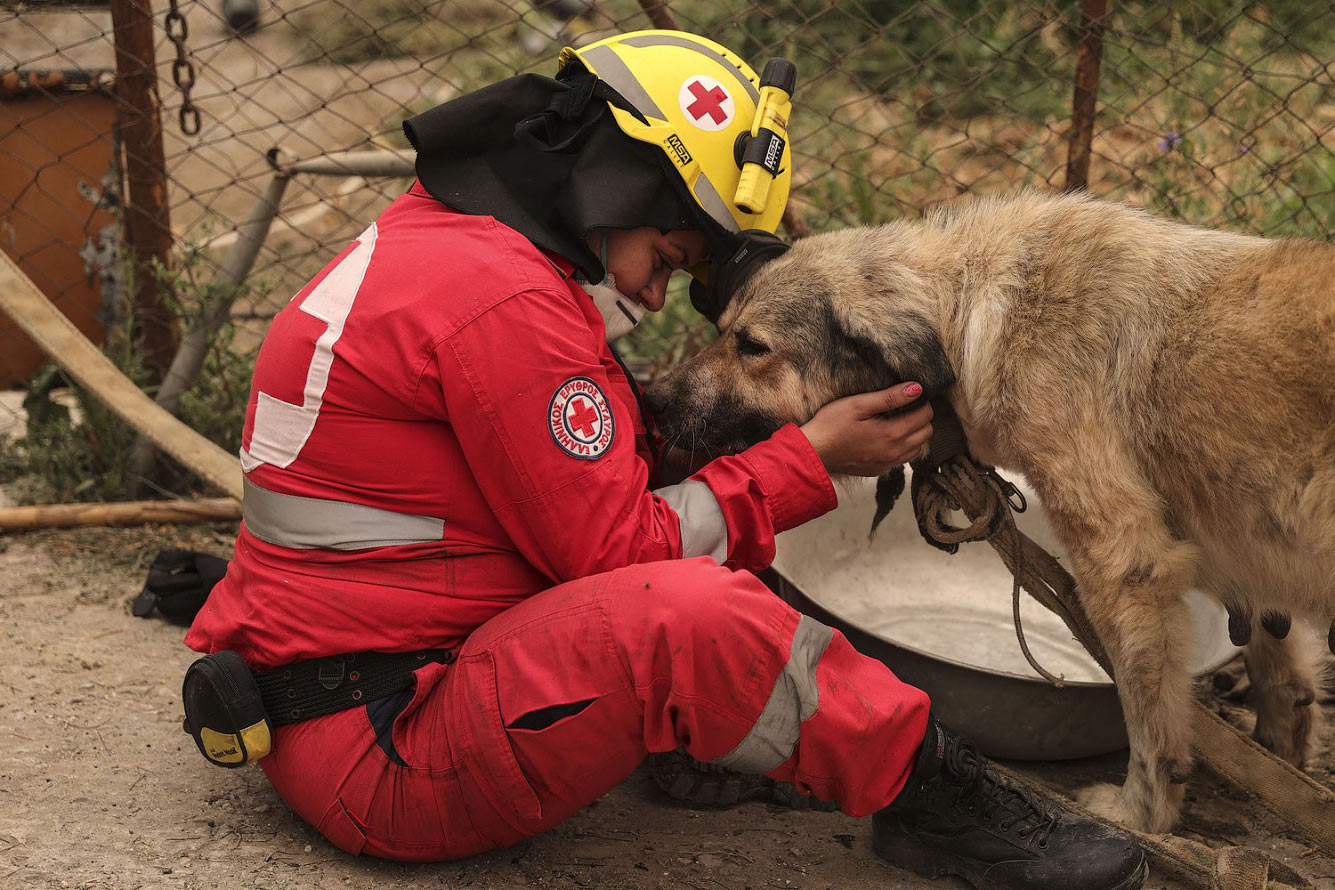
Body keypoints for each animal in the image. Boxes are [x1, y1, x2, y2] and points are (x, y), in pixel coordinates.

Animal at [648, 189, 1335, 837]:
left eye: (752, 346)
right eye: (721, 330)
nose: (652, 399)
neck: (977, 316)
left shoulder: (1127, 564)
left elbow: (1152, 724)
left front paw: (1143, 815)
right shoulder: (1243, 542)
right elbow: (1279, 657)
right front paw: (1287, 757)